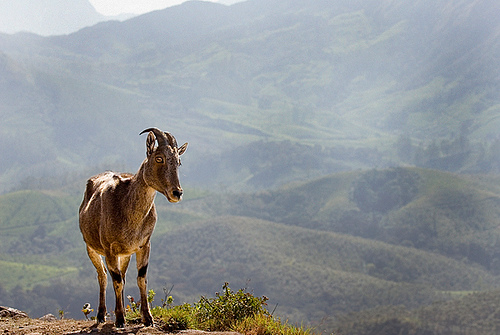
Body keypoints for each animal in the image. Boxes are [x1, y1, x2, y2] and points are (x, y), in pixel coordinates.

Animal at [78, 129, 188, 328]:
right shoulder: (110, 249)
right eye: (159, 158)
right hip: (91, 248)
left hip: (125, 254)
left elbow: (140, 278)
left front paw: (147, 318)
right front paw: (120, 319)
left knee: (121, 275)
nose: (177, 193)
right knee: (103, 276)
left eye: (179, 161)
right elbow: (116, 281)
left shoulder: (144, 246)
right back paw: (102, 315)